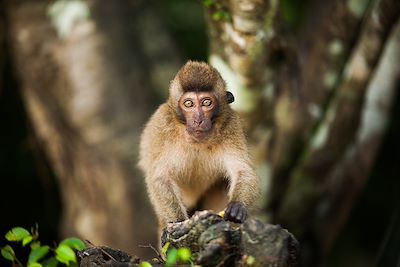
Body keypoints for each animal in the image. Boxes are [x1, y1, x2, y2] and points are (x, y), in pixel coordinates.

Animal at [139, 60, 260, 239]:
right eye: (189, 104)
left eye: (206, 103)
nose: (198, 120)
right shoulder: (162, 125)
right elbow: (160, 178)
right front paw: (178, 223)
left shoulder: (231, 124)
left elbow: (242, 170)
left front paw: (238, 206)